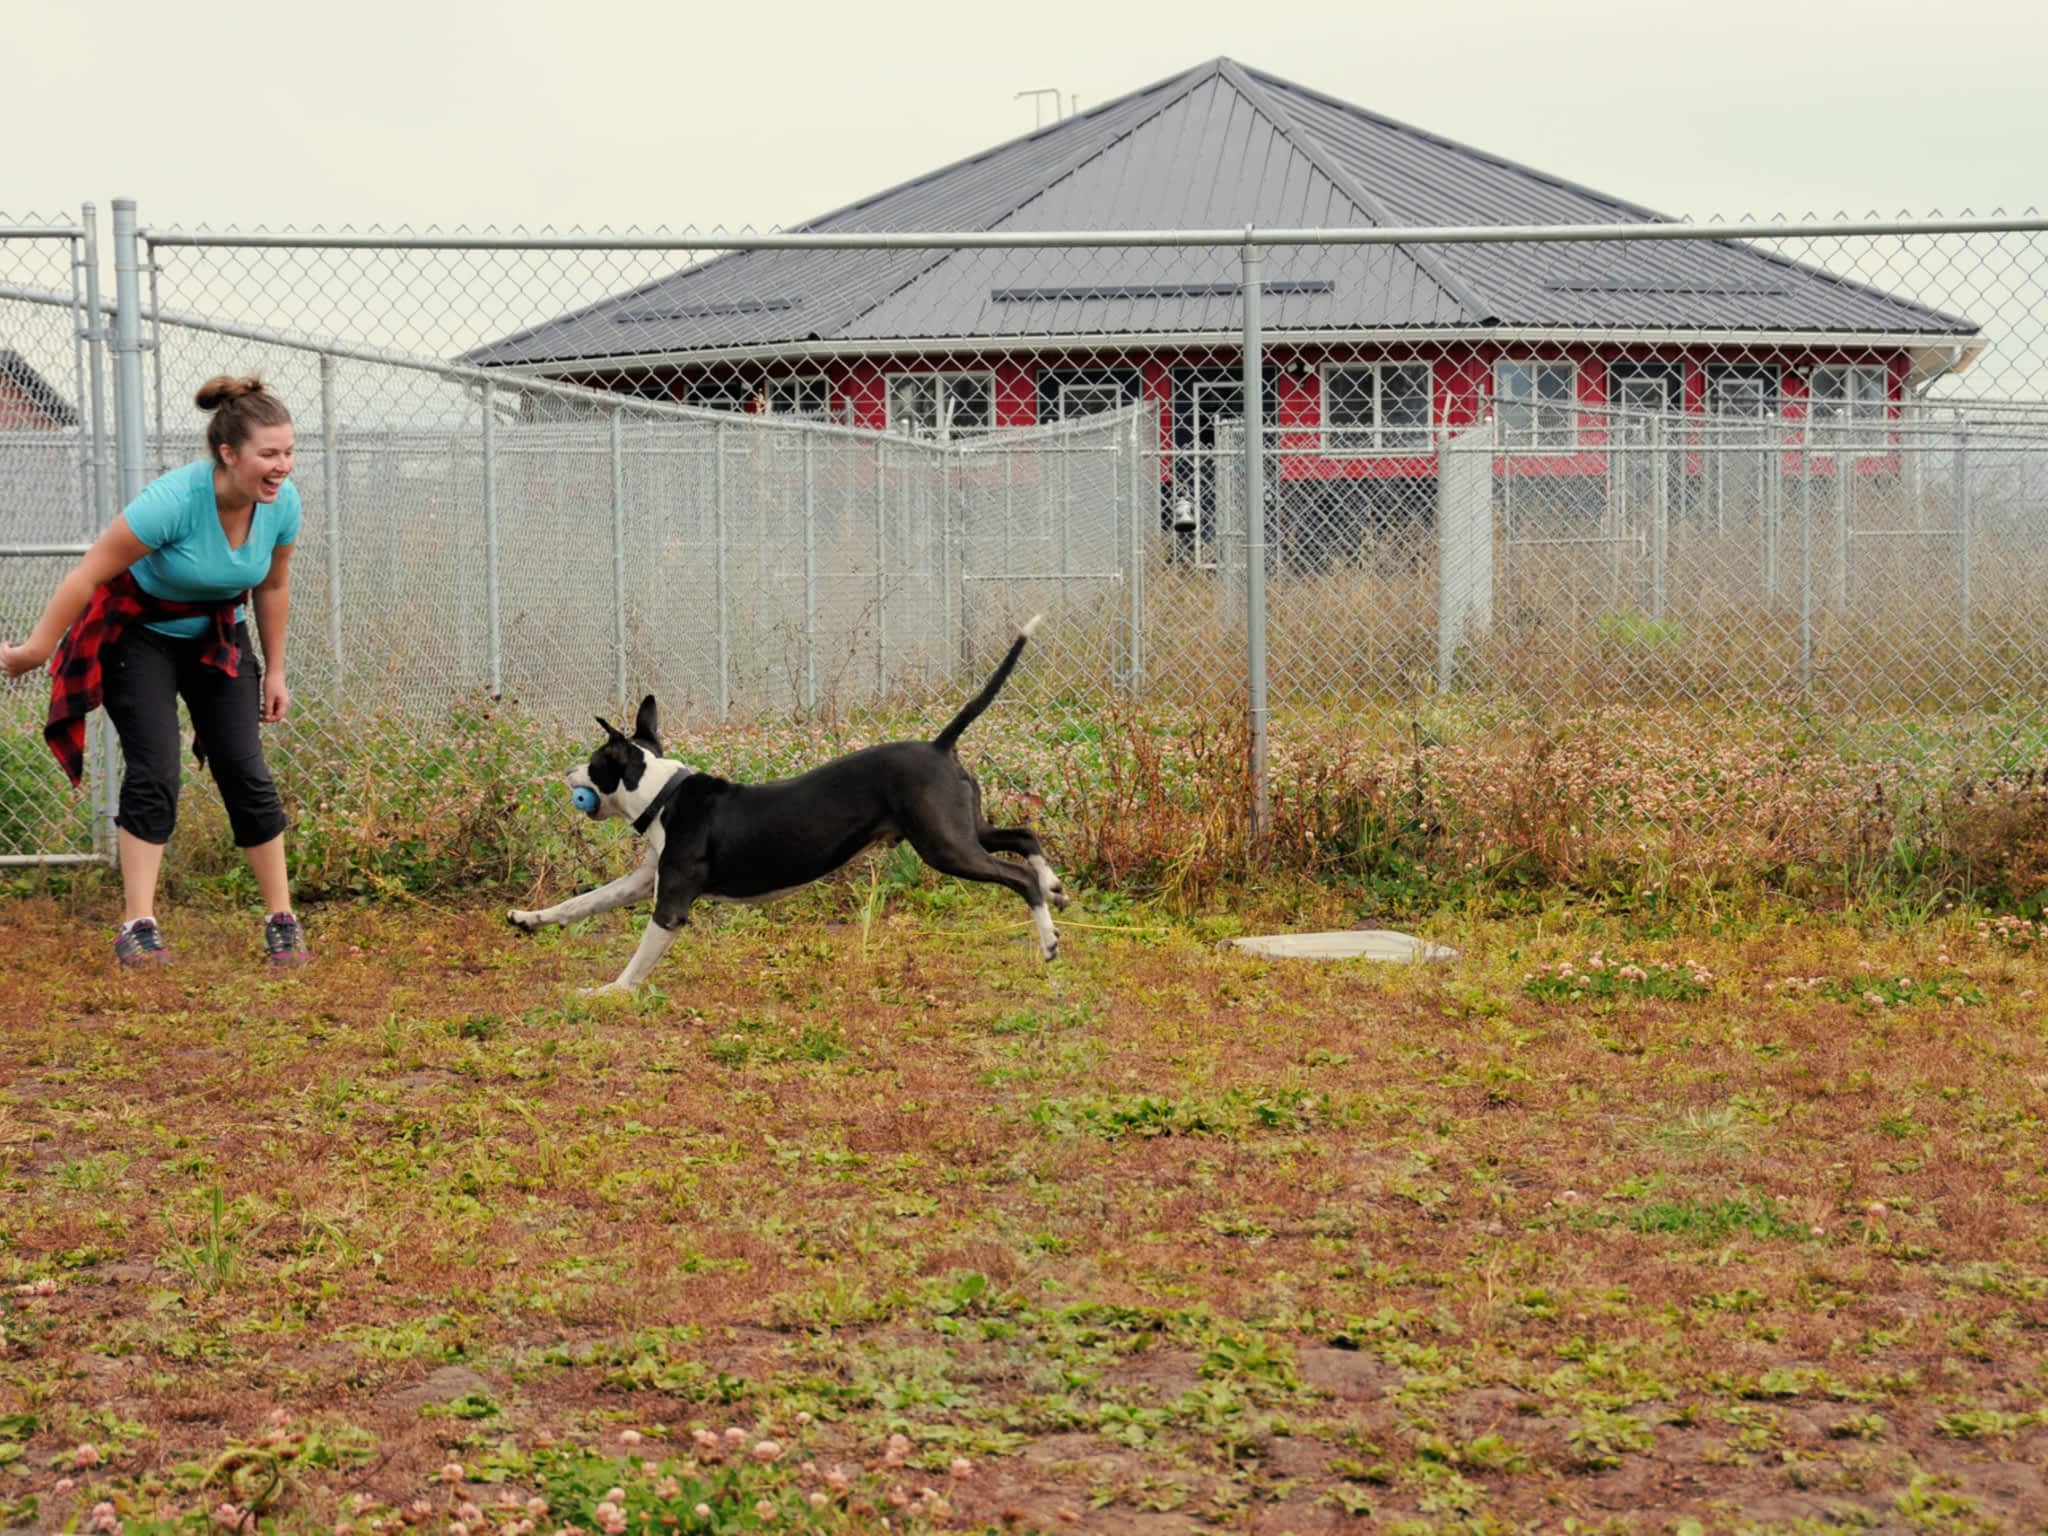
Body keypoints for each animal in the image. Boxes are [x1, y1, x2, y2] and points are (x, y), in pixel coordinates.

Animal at [507, 618, 1073, 999]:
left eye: (593, 763)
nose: (566, 775)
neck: (663, 793)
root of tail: (939, 745)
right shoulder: (642, 882)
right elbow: (581, 902)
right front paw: (527, 918)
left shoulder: (669, 906)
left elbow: (637, 963)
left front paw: (608, 992)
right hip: (962, 827)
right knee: (1023, 835)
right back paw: (1055, 888)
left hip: (945, 846)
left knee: (1016, 875)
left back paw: (1048, 940)